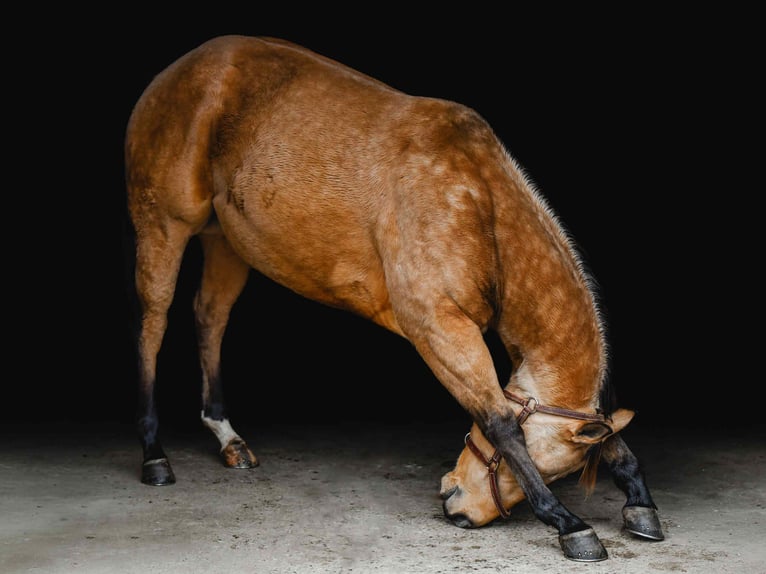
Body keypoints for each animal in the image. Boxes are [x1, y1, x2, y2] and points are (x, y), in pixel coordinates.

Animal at [124, 35, 663, 562]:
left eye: (560, 471)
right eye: (539, 460)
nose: (456, 505)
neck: (478, 203)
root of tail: (177, 71)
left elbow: (610, 440)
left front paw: (639, 502)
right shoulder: (440, 329)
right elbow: (499, 422)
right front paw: (570, 525)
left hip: (226, 242)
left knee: (209, 319)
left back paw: (227, 438)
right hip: (164, 226)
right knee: (153, 324)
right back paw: (154, 455)